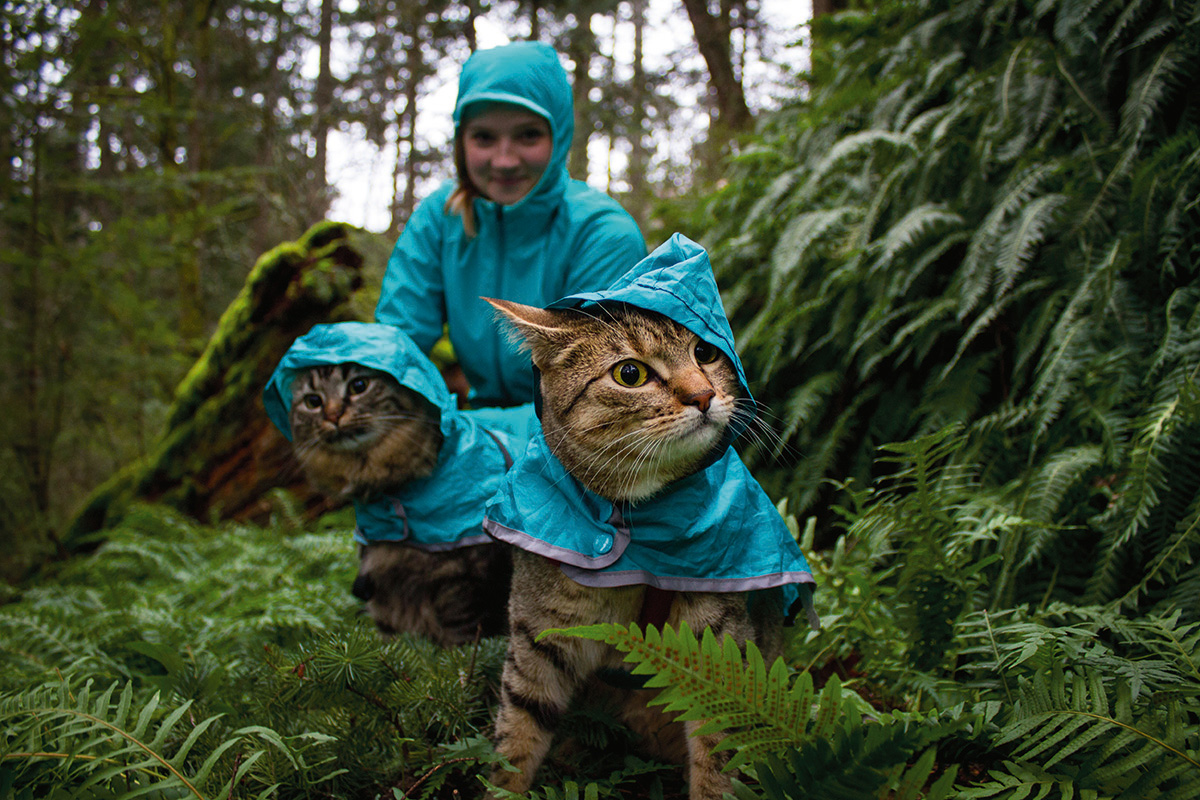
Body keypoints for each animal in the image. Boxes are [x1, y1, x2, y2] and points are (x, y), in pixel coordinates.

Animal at [480, 236, 816, 800]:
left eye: (705, 352)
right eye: (630, 374)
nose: (703, 395)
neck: (640, 538)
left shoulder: (722, 653)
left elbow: (719, 761)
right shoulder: (537, 636)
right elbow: (516, 739)